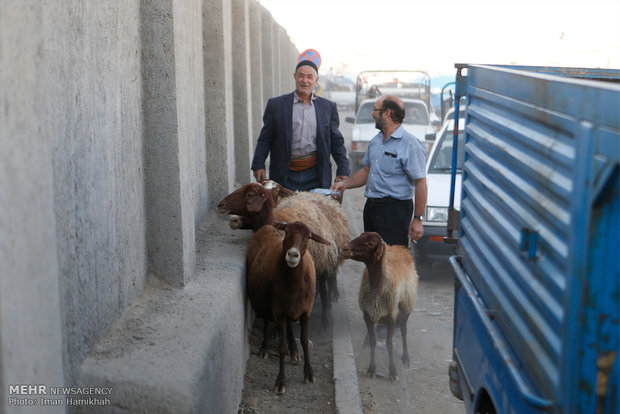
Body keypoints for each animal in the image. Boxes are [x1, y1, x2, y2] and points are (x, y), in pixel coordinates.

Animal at [247, 222, 332, 392]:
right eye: (286, 232)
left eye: (308, 237)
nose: (293, 254)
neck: (294, 285)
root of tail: (267, 226)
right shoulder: (279, 312)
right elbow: (282, 346)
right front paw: (280, 381)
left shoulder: (305, 311)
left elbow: (305, 341)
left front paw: (309, 373)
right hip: (266, 304)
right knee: (266, 321)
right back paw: (265, 348)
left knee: (290, 327)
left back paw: (294, 352)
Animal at [340, 231, 422, 380]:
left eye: (370, 243)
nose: (344, 249)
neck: (378, 285)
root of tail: (401, 247)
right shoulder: (367, 314)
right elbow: (373, 341)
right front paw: (372, 369)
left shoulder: (391, 316)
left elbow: (389, 344)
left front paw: (393, 371)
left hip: (406, 304)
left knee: (403, 330)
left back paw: (406, 358)